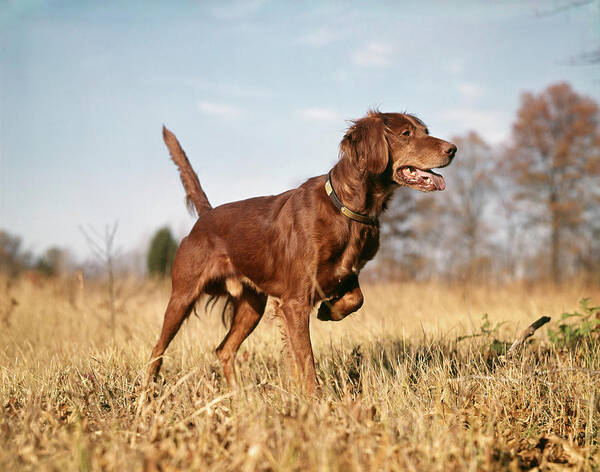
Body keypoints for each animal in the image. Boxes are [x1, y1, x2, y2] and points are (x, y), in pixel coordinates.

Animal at [148, 110, 458, 394]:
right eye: (406, 133)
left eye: (425, 130)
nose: (453, 149)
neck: (345, 208)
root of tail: (205, 217)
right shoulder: (294, 301)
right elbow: (306, 358)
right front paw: (314, 401)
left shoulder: (345, 274)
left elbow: (356, 299)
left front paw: (329, 310)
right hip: (182, 297)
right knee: (157, 350)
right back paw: (148, 392)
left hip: (252, 305)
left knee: (223, 349)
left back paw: (239, 397)